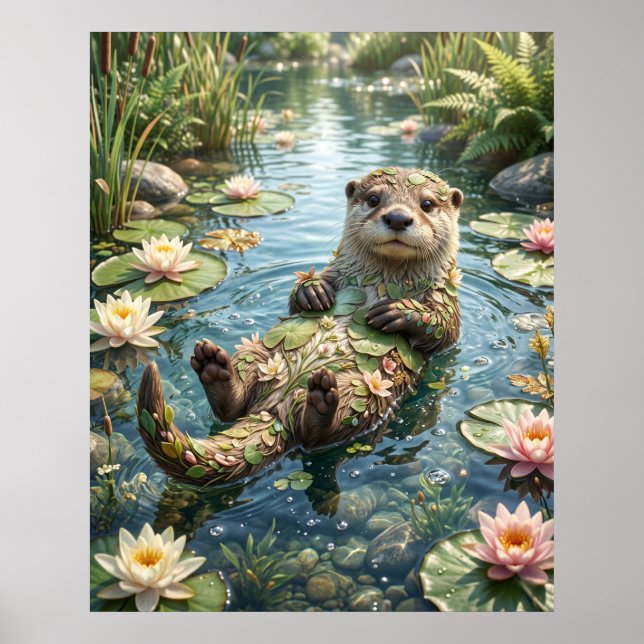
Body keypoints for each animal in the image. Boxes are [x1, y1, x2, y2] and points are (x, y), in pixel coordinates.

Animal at [136, 167, 463, 485]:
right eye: (374, 199)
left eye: (427, 204)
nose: (397, 217)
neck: (383, 282)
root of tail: (278, 408)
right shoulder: (335, 273)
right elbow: (296, 301)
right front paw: (313, 291)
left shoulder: (444, 296)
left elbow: (446, 328)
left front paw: (398, 311)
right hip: (259, 353)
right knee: (239, 403)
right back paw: (215, 368)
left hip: (366, 391)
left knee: (318, 436)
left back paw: (320, 401)